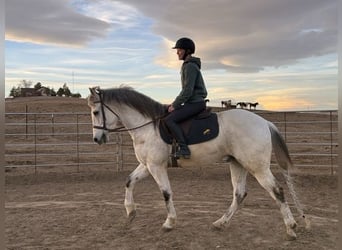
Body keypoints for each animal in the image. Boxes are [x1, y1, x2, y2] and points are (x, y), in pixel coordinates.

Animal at [87, 86, 308, 240]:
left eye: (96, 112)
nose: (97, 139)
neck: (148, 126)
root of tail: (264, 123)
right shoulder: (147, 165)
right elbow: (129, 181)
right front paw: (130, 212)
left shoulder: (156, 166)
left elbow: (166, 193)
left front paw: (169, 223)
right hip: (238, 164)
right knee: (239, 194)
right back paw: (220, 223)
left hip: (257, 167)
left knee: (277, 191)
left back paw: (291, 229)